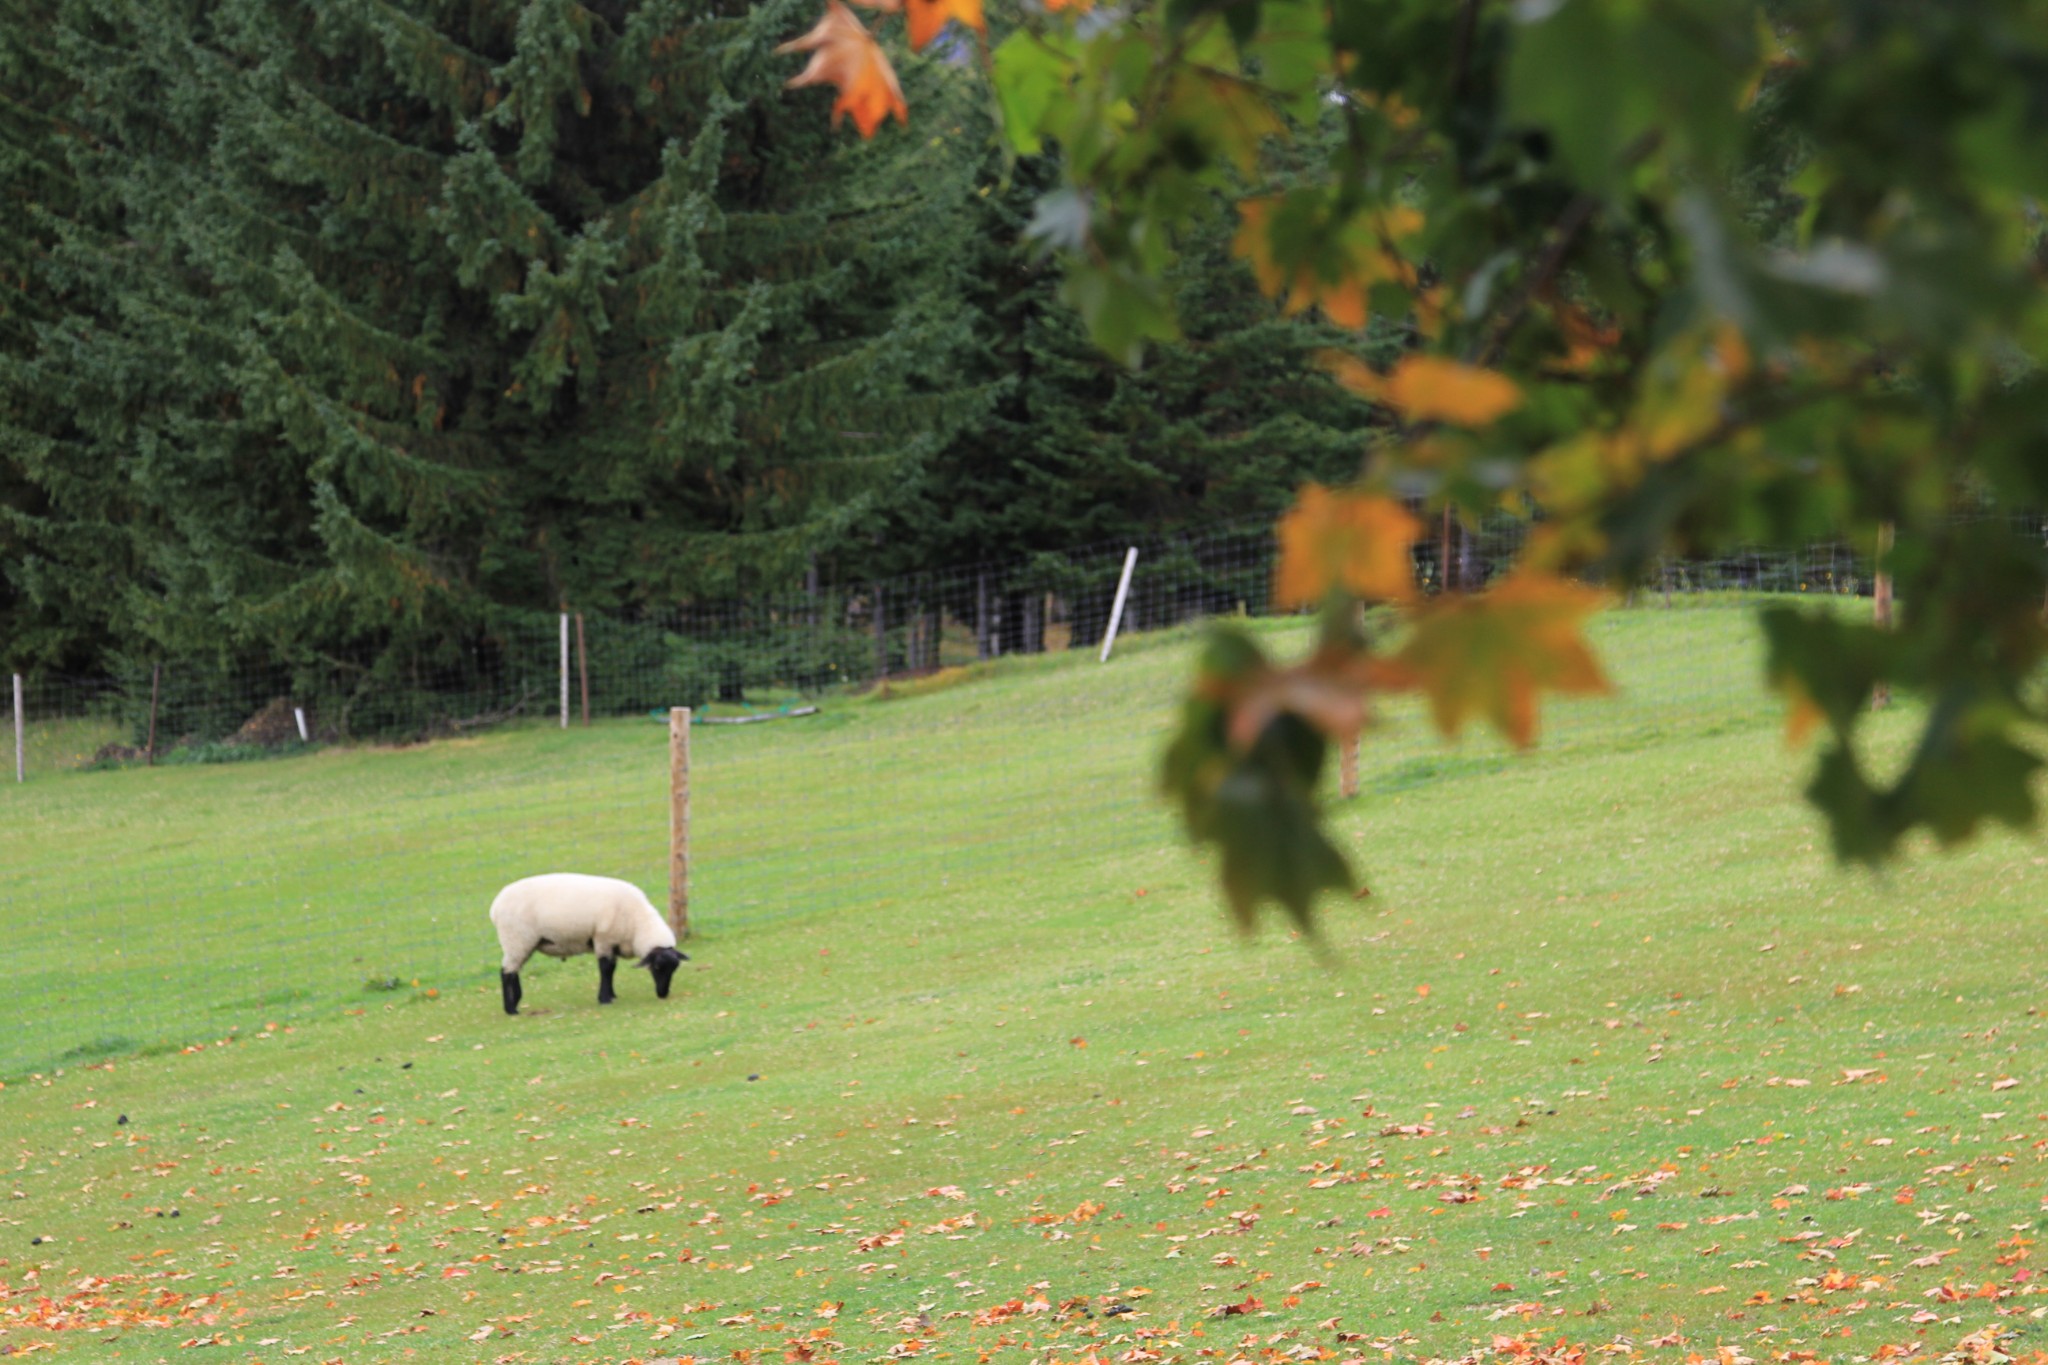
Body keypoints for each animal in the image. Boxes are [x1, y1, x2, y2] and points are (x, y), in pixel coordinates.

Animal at [487, 875, 688, 1015]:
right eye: (657, 967)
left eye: (675, 969)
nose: (663, 994)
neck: (637, 925)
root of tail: (495, 907)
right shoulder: (604, 939)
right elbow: (606, 968)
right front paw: (605, 999)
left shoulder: (612, 942)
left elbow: (612, 969)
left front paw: (612, 995)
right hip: (516, 938)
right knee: (506, 972)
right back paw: (510, 1009)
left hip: (522, 943)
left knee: (513, 971)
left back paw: (515, 1002)